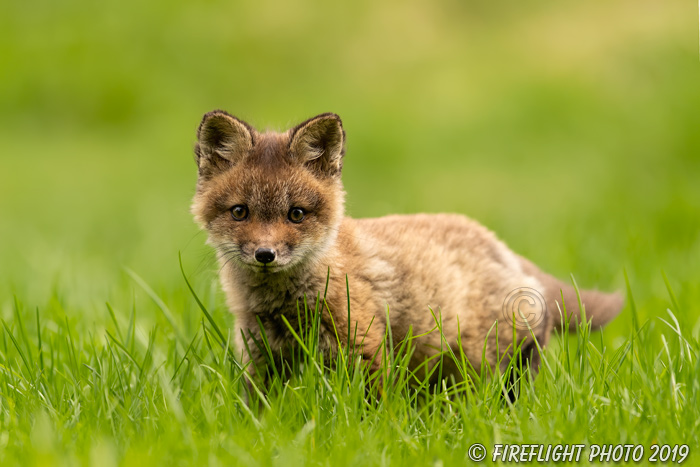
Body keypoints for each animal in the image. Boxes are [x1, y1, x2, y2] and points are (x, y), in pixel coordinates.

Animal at [189, 110, 620, 384]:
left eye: (296, 214)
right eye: (240, 212)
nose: (265, 255)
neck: (285, 305)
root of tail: (502, 246)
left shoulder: (363, 345)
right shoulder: (260, 354)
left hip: (491, 365)